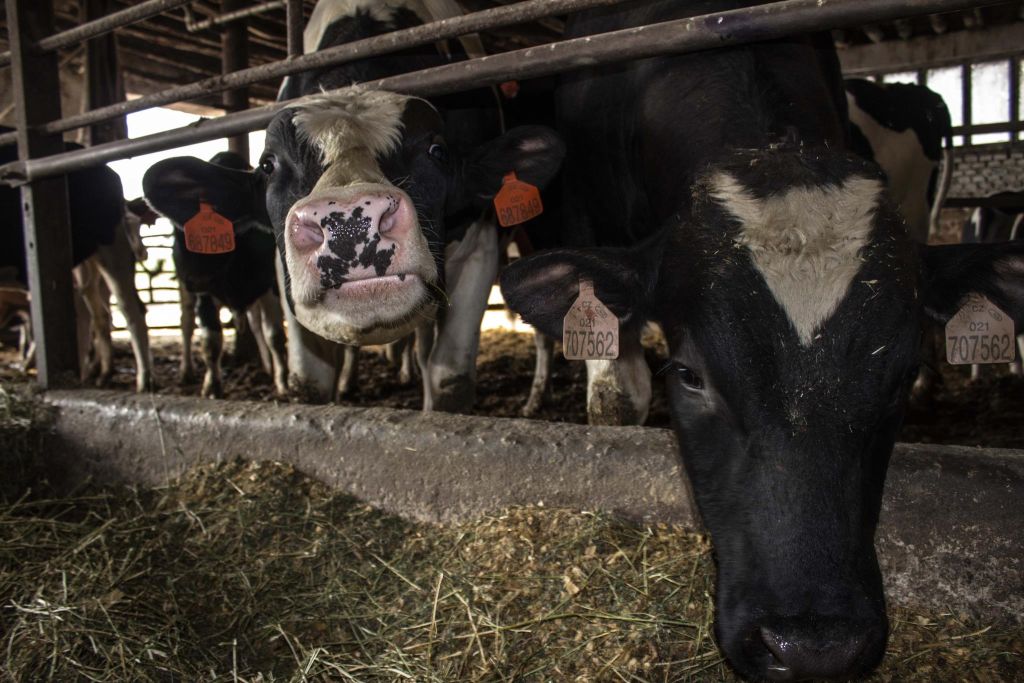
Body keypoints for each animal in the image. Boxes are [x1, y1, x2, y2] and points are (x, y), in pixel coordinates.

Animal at [0, 136, 152, 392]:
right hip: (82, 264)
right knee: (96, 313)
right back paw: (101, 374)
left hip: (113, 246)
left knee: (130, 310)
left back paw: (143, 380)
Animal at [143, 0, 564, 410]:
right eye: (268, 165)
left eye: (437, 151)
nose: (348, 224)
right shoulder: (284, 277)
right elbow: (310, 383)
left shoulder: (481, 246)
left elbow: (449, 381)